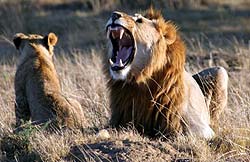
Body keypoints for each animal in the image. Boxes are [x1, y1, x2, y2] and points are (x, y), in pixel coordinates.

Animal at [104, 8, 228, 139]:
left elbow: (183, 134)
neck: (142, 83)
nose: (114, 14)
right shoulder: (118, 120)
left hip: (221, 71)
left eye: (139, 20)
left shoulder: (200, 128)